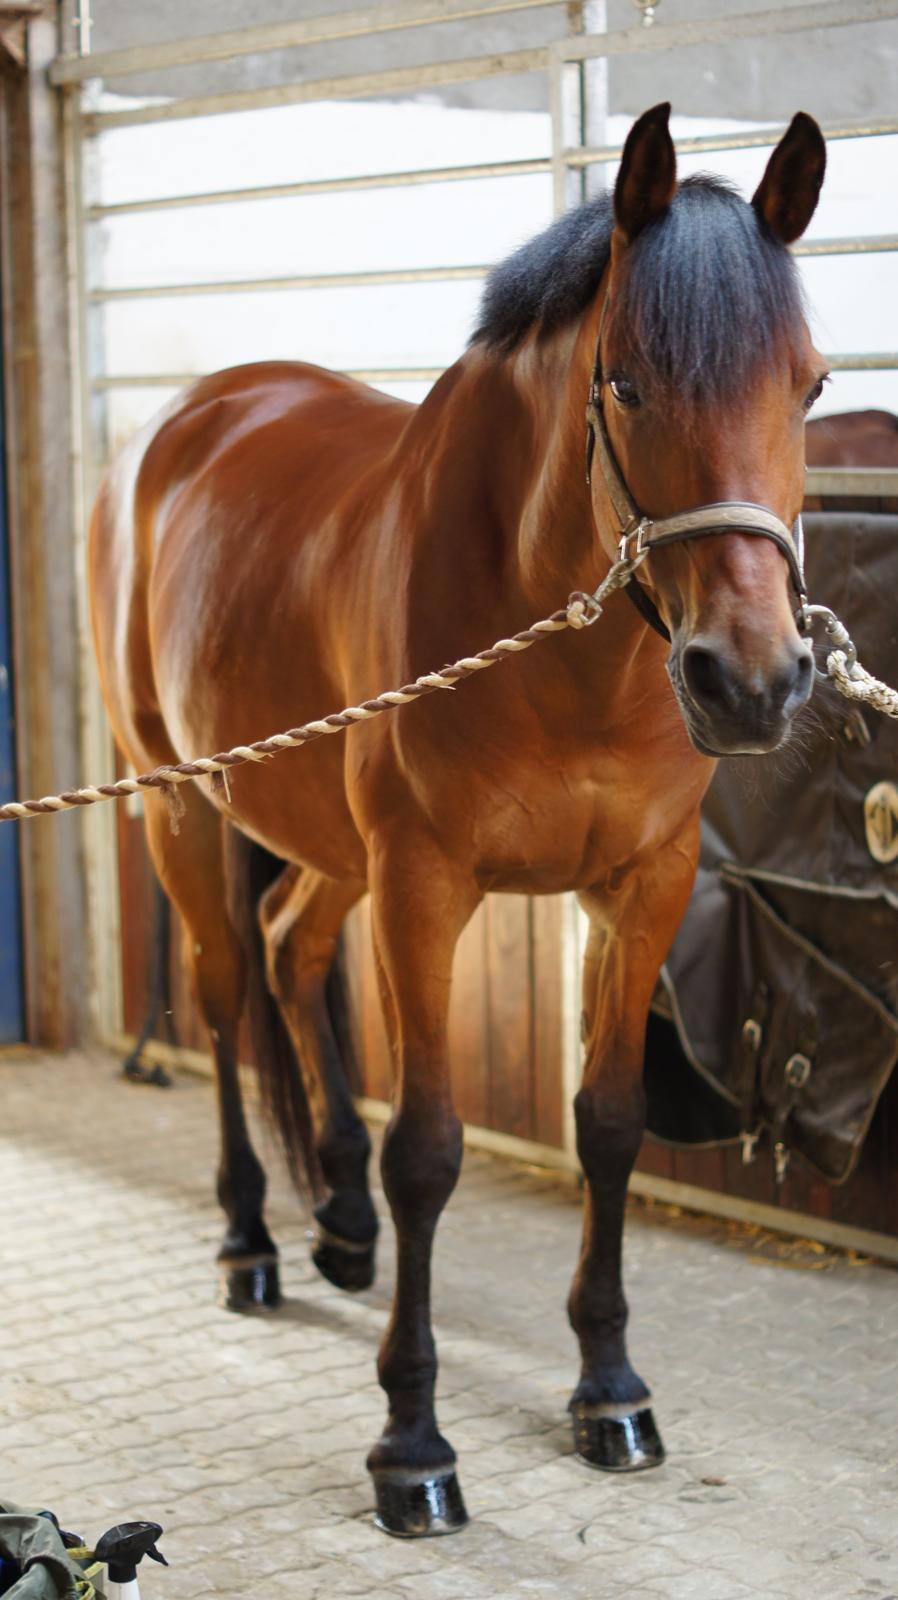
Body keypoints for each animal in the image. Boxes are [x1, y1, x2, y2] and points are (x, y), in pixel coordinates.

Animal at [89, 106, 825, 1529]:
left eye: (812, 385)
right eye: (626, 383)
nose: (752, 681)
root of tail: (187, 418)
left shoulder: (638, 887)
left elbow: (607, 1123)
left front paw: (610, 1389)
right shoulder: (425, 885)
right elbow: (427, 1150)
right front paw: (412, 1443)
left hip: (325, 840)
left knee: (290, 947)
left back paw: (336, 1227)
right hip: (177, 803)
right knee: (224, 990)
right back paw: (252, 1241)